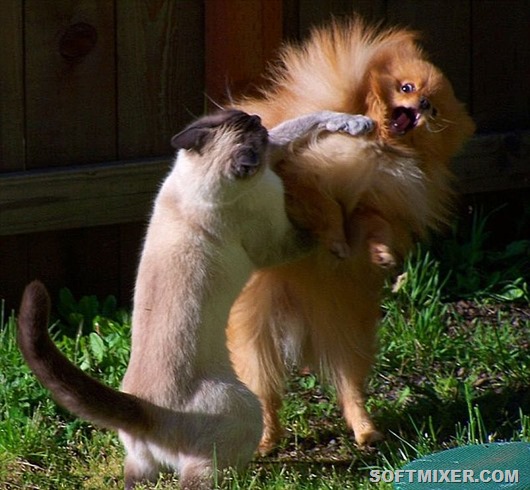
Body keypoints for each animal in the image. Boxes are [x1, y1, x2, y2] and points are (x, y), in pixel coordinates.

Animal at [17, 109, 373, 489]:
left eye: (252, 122)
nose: (257, 117)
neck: (203, 182)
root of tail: (143, 410)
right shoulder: (275, 243)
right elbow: (319, 230)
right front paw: (345, 236)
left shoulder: (274, 152)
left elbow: (306, 121)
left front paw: (356, 123)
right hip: (244, 407)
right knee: (200, 477)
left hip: (141, 461)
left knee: (138, 476)